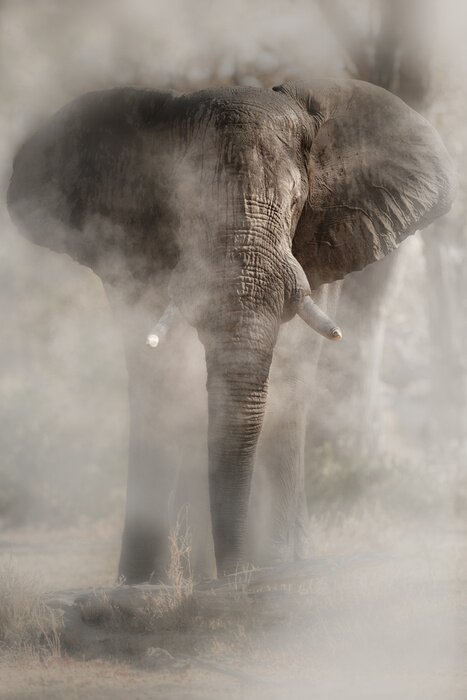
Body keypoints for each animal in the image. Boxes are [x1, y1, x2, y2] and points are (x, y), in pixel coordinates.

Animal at [7, 79, 455, 582]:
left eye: (297, 203)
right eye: (181, 204)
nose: (235, 576)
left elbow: (291, 381)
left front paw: (280, 571)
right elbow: (155, 379)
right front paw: (141, 586)